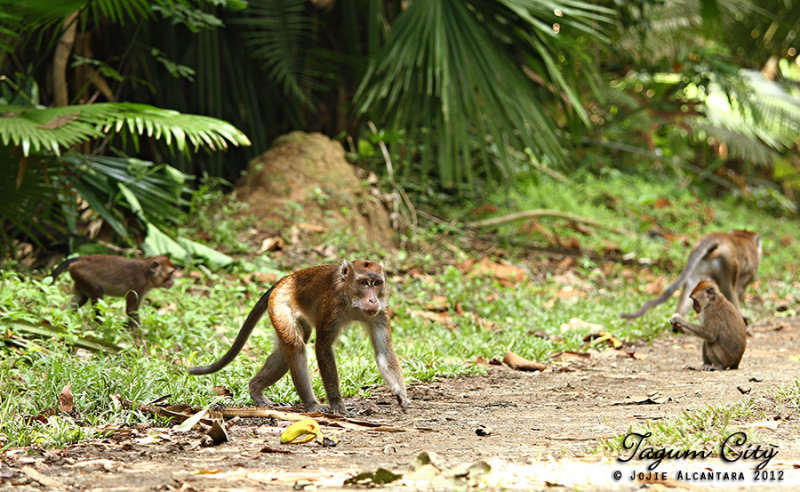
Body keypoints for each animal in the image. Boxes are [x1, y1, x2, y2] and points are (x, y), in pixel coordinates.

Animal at [188, 262, 410, 416]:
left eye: (377, 283)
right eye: (364, 282)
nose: (372, 299)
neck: (352, 302)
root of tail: (288, 277)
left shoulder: (381, 312)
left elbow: (384, 353)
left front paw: (401, 393)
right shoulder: (333, 307)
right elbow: (323, 348)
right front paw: (337, 405)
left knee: (290, 346)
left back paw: (255, 388)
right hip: (279, 303)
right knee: (295, 346)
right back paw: (311, 405)